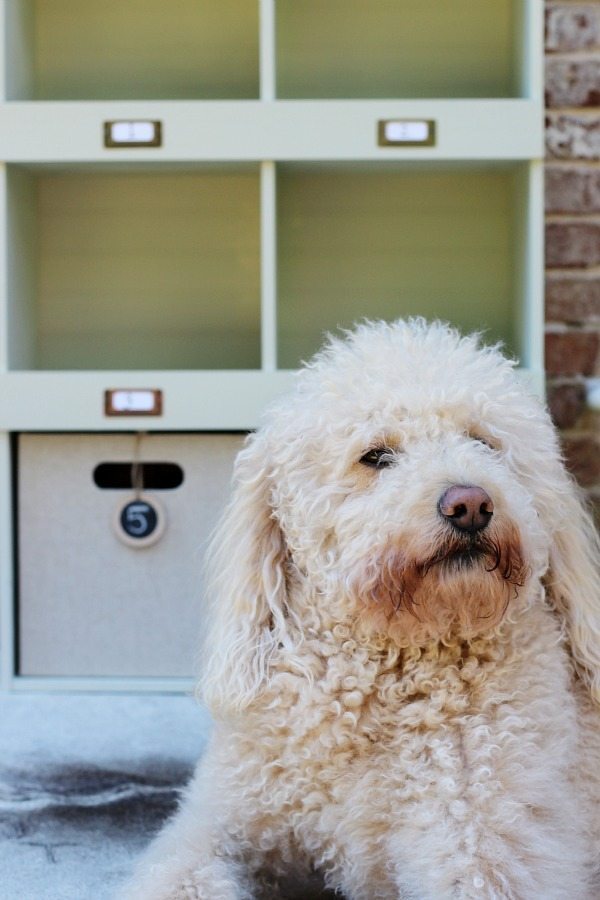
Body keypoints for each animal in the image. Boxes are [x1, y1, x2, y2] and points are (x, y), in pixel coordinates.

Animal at [123, 320, 600, 896]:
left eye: (483, 442)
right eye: (375, 455)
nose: (470, 504)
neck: (380, 678)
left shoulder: (484, 845)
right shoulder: (215, 822)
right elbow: (182, 870)